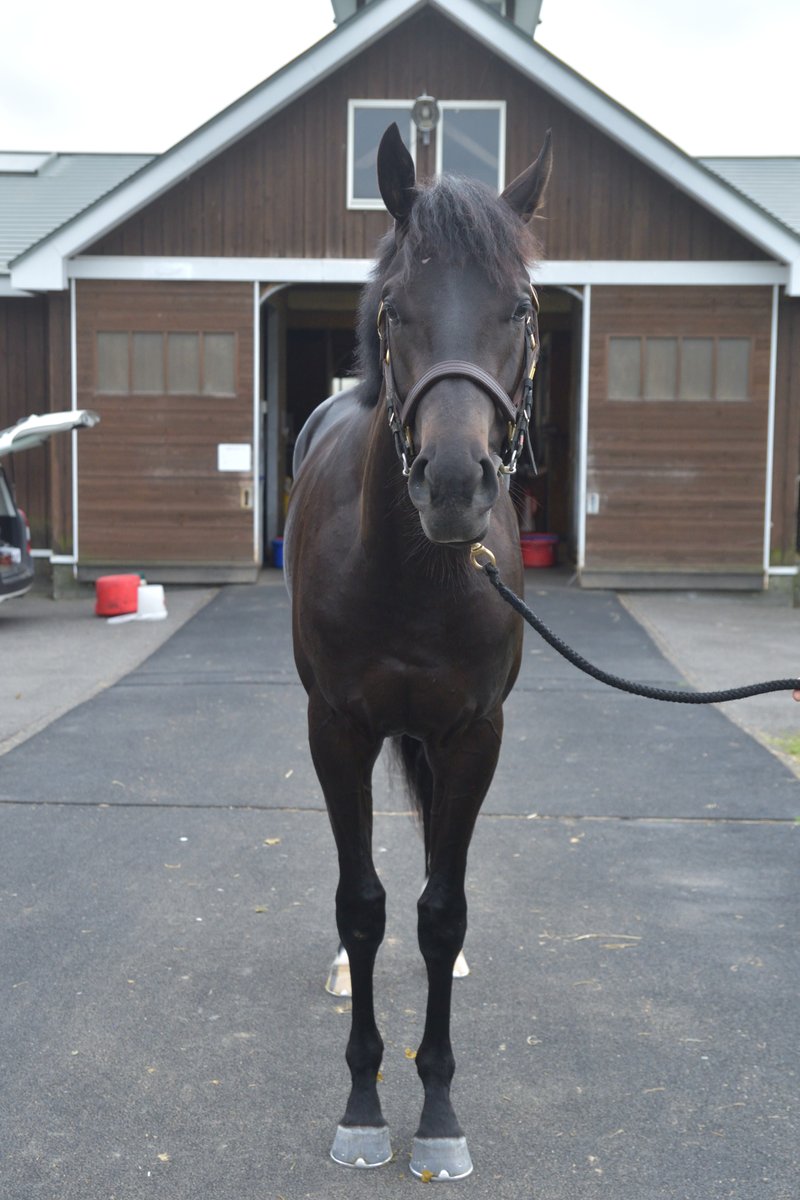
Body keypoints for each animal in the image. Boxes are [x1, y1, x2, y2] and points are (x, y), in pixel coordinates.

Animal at [284, 122, 552, 1180]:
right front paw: (364, 1105)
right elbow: (362, 903)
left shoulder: (475, 734)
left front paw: (437, 1112)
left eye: (520, 307)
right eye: (395, 308)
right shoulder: (337, 731)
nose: (452, 482)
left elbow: (441, 911)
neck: (412, 571)